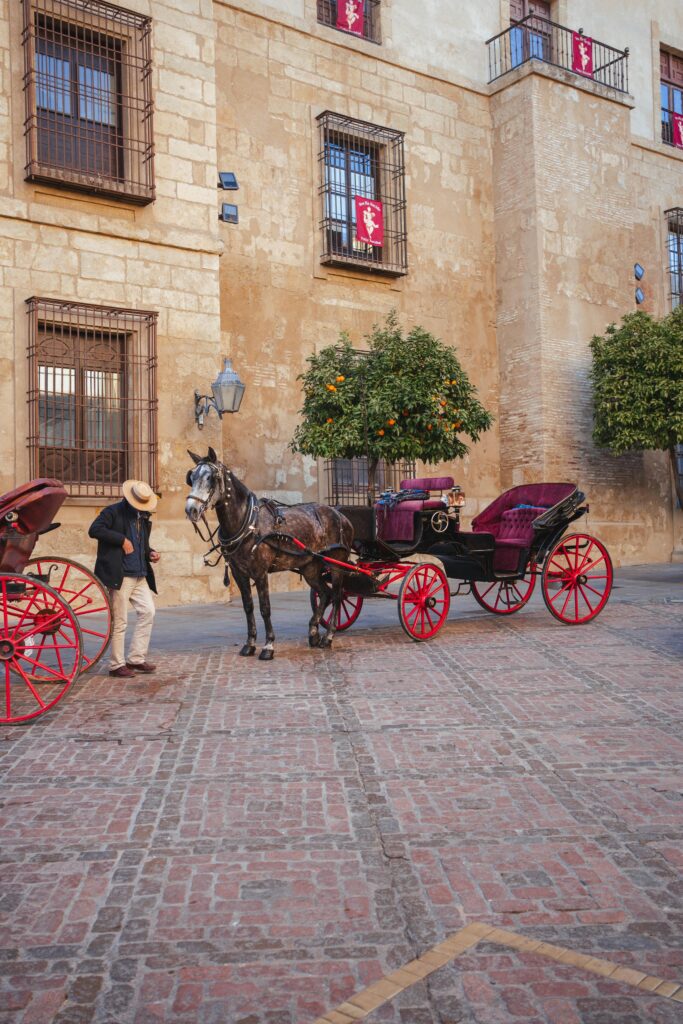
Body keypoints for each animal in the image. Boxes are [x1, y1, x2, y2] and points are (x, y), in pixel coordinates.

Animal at [184, 450, 356, 659]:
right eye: (191, 477)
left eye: (211, 478)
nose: (191, 510)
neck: (248, 522)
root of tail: (341, 516)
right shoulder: (238, 573)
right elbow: (248, 607)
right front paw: (249, 644)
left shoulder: (260, 572)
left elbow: (265, 608)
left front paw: (268, 646)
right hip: (310, 567)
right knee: (325, 593)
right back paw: (313, 632)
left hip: (337, 564)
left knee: (338, 596)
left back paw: (328, 637)